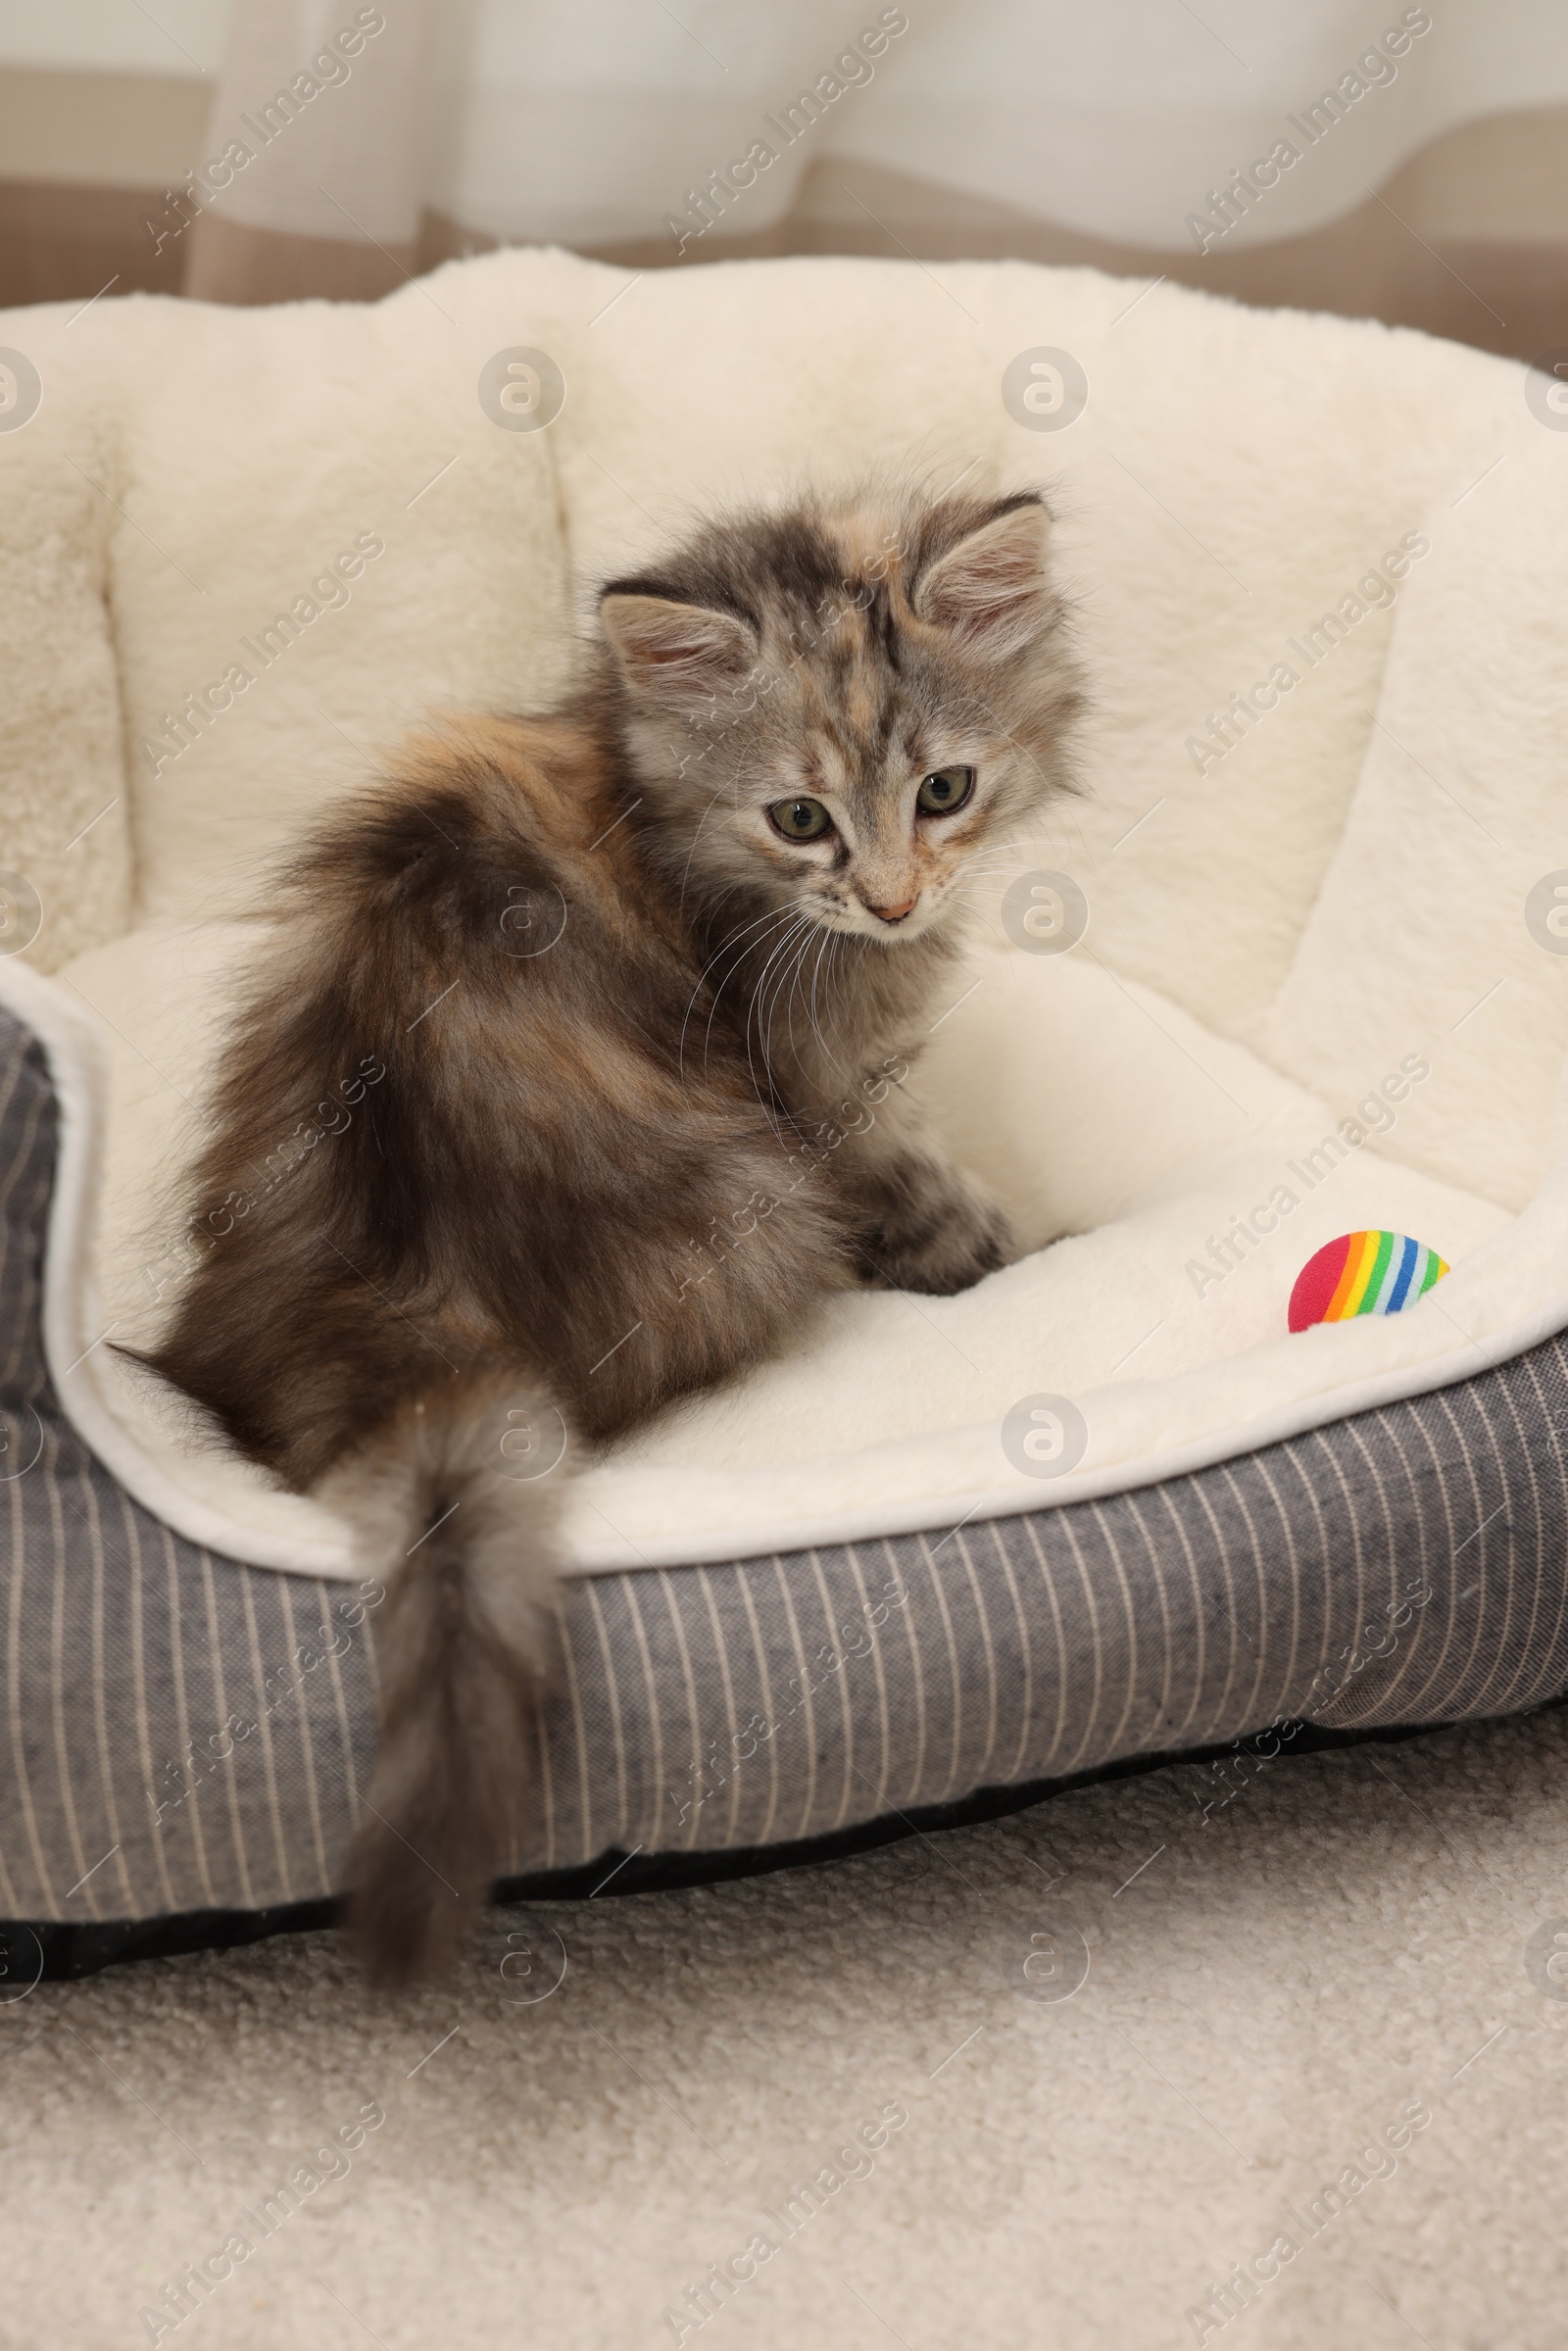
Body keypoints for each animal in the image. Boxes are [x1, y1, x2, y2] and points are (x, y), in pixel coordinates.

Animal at [140, 476, 1086, 1984]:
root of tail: (396, 1297)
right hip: (760, 1208)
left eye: (944, 788)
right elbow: (948, 1207)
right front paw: (1039, 1247)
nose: (893, 900)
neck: (647, 788)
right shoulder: (826, 1102)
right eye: (801, 817)